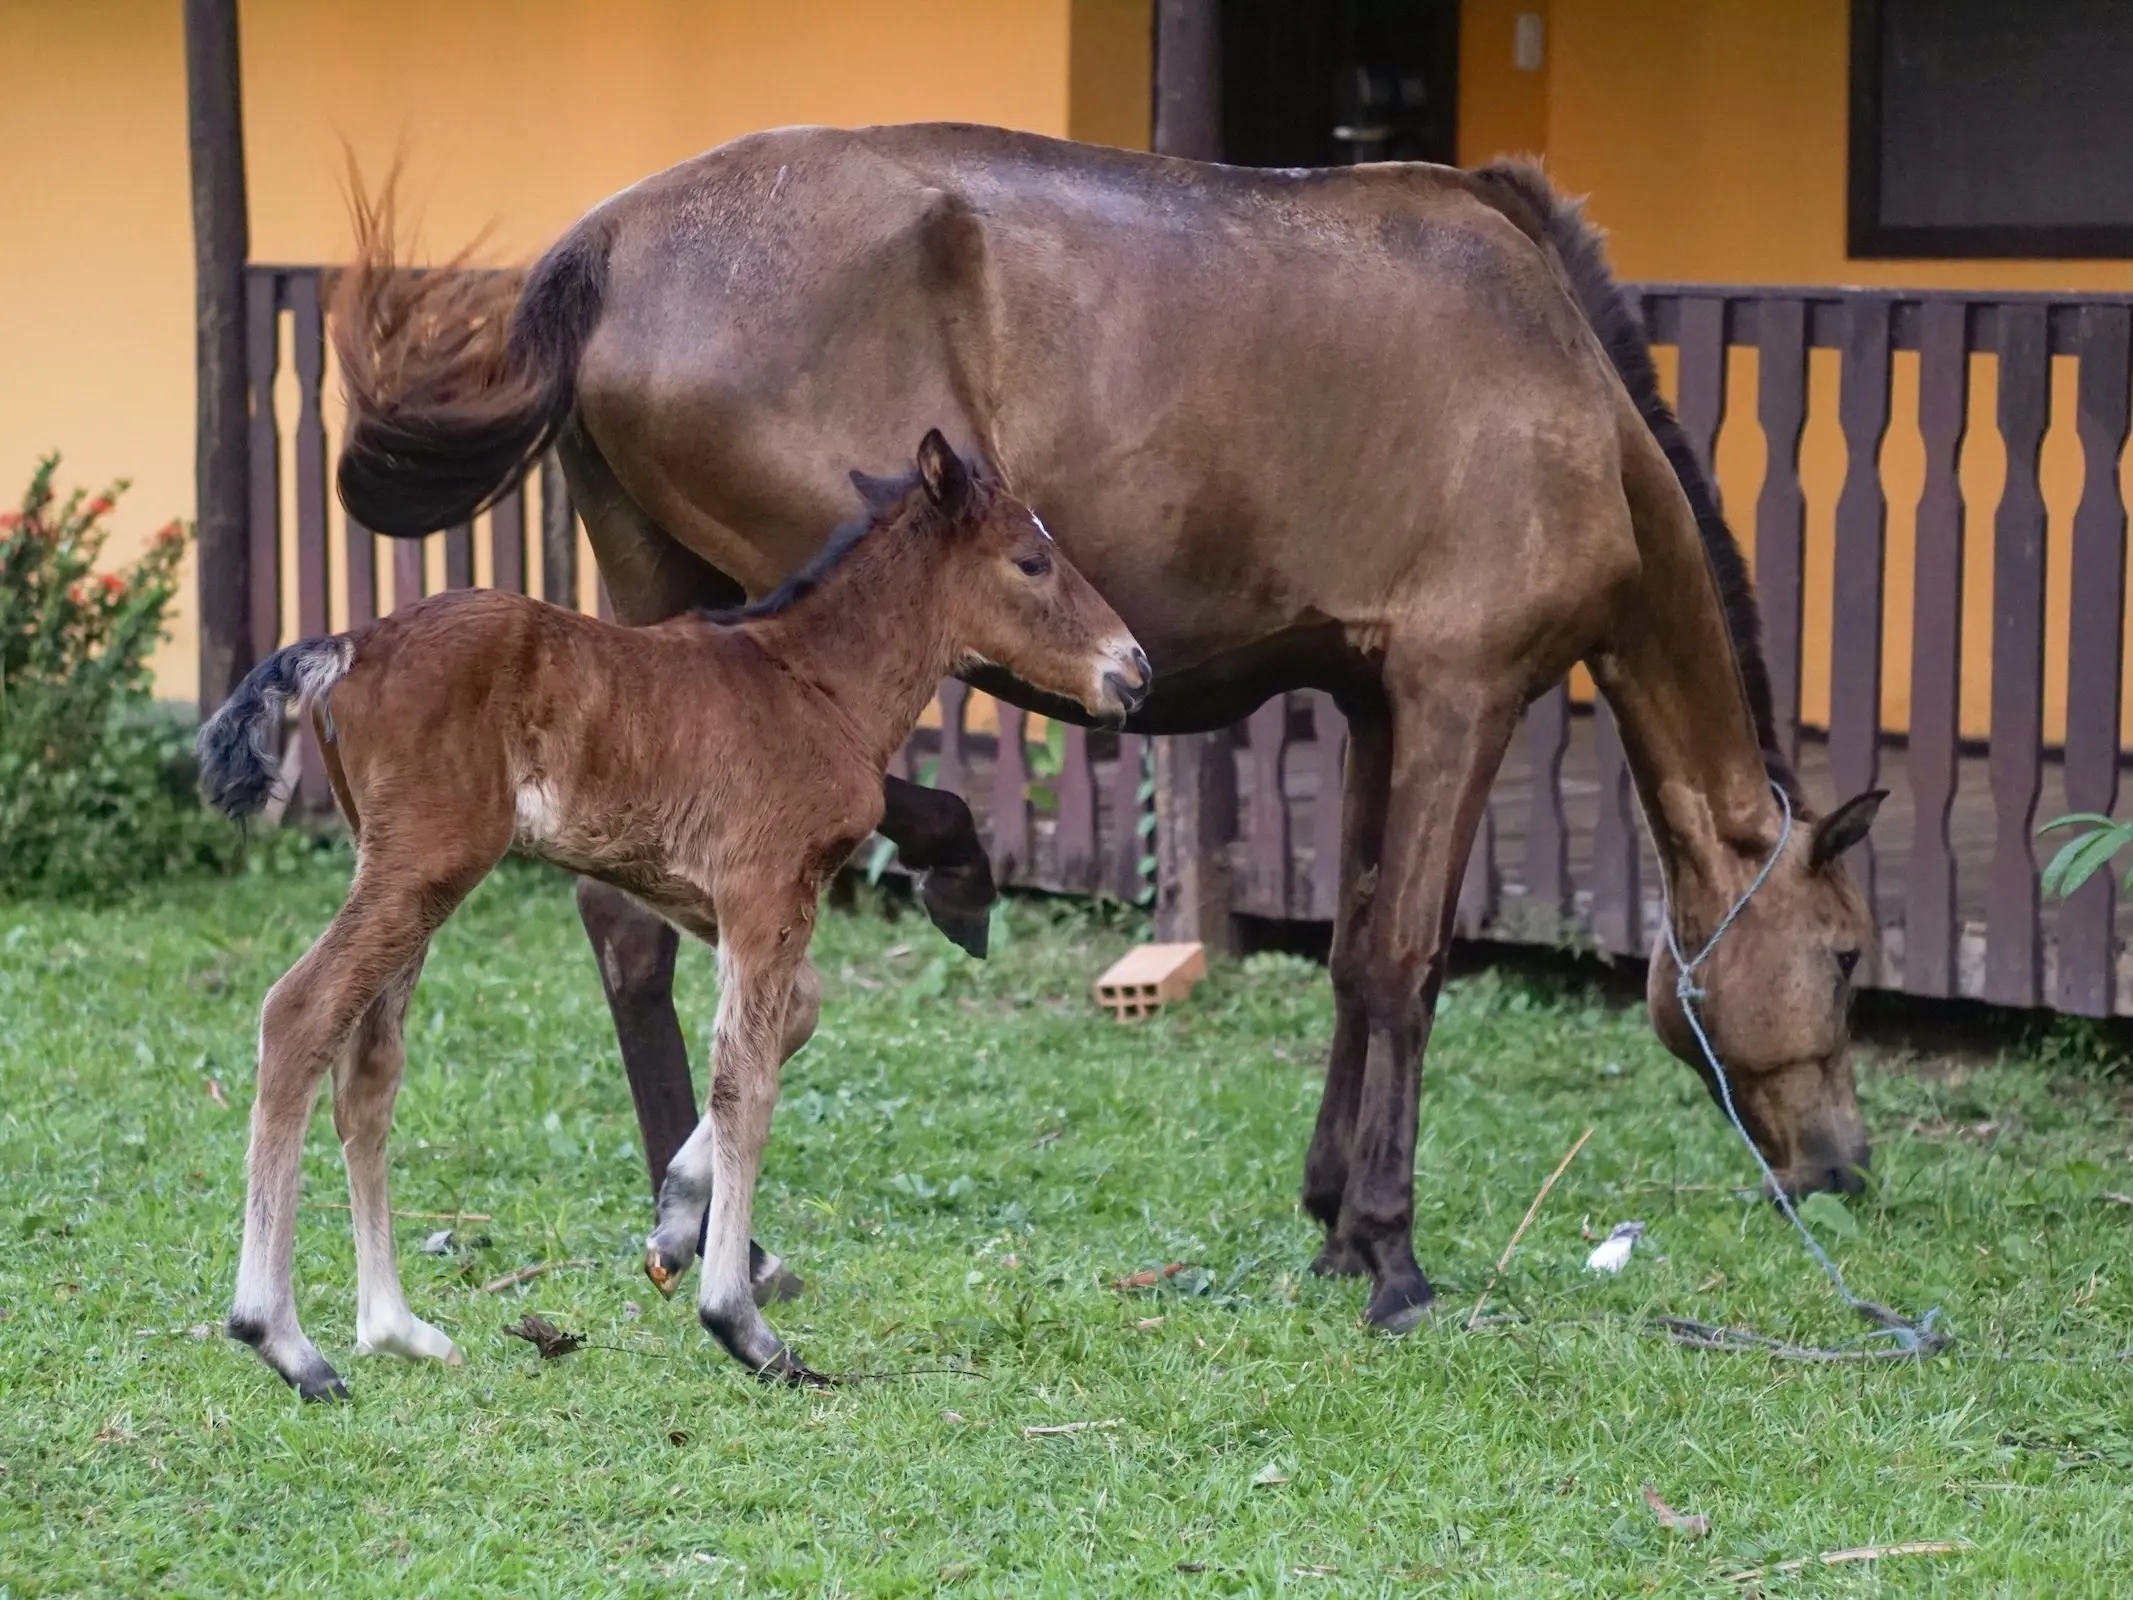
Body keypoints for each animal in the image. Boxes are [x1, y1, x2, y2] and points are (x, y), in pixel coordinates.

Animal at [197, 430, 1149, 1396]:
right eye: (1031, 561)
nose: (1133, 670)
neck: (814, 685)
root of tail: (350, 643)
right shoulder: (766, 886)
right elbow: (746, 1081)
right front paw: (742, 1325)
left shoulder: (697, 892)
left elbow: (792, 1018)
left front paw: (671, 1229)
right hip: (426, 860)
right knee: (299, 1013)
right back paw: (282, 1338)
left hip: (399, 865)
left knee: (368, 1068)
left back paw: (395, 1329)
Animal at [331, 127, 1885, 1337]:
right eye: (1849, 956)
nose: (1845, 1167)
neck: (1563, 383)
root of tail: (601, 249)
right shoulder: (1464, 691)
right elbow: (1407, 962)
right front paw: (1388, 1252)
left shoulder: (1377, 699)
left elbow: (1350, 953)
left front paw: (1331, 1217)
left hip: (660, 599)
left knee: (631, 926)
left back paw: (720, 1225)